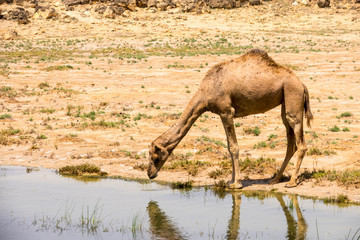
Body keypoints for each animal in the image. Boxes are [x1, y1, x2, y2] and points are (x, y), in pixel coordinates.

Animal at [146, 48, 312, 188]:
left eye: (154, 155)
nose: (150, 173)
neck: (205, 93)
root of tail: (301, 84)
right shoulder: (222, 113)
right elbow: (228, 146)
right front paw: (231, 180)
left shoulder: (226, 111)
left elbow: (233, 146)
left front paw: (236, 183)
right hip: (286, 99)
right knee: (290, 140)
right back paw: (275, 179)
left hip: (292, 94)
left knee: (300, 140)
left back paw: (291, 182)